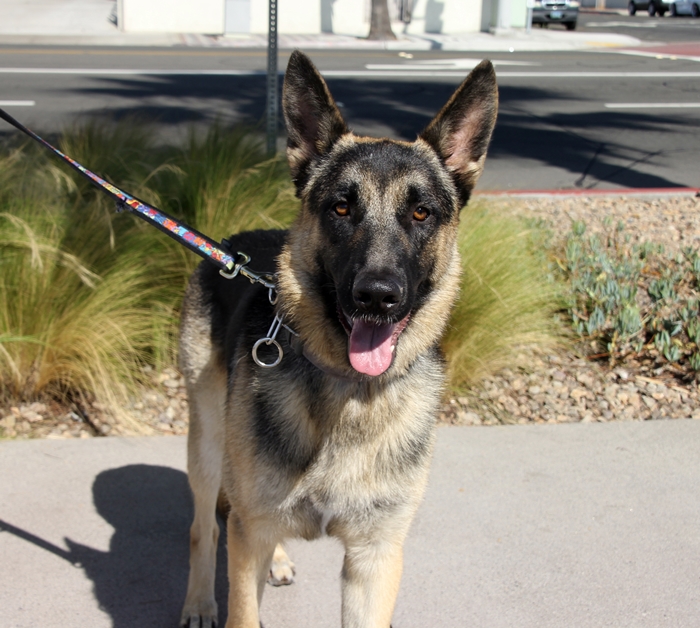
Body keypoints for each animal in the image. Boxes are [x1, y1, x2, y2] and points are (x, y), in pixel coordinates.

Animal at [179, 50, 498, 628]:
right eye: (341, 208)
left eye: (422, 212)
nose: (377, 296)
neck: (348, 391)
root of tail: (232, 245)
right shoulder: (249, 535)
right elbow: (240, 592)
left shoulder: (374, 558)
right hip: (208, 441)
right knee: (205, 526)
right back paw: (197, 602)